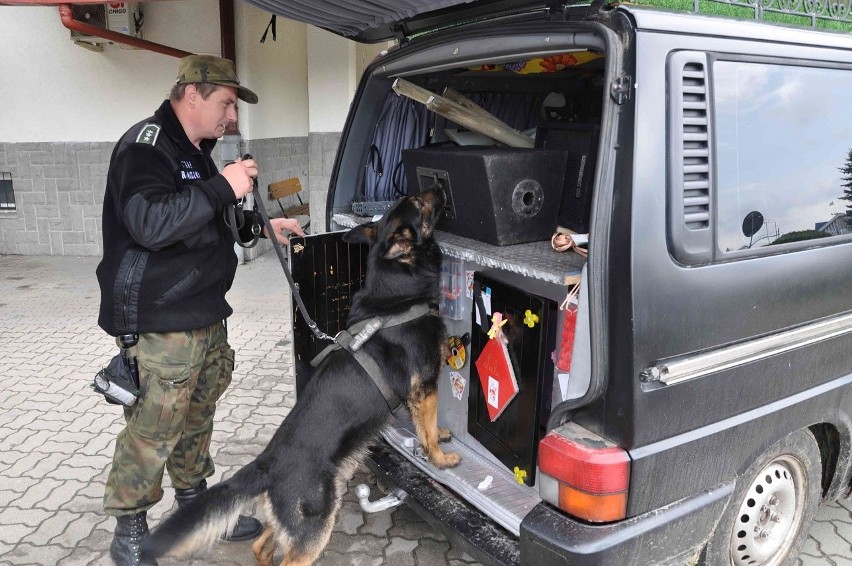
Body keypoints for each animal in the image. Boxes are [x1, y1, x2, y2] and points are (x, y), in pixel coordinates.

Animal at [141, 187, 460, 566]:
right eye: (419, 203)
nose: (439, 188)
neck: (396, 292)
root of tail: (267, 464)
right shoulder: (424, 387)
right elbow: (426, 431)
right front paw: (440, 458)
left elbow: (427, 426)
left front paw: (441, 435)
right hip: (315, 527)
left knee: (262, 545)